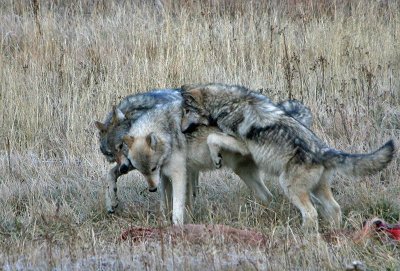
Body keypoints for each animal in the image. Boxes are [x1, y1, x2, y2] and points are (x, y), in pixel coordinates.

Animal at [180, 83, 394, 232]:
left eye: (186, 112)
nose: (181, 131)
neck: (229, 103)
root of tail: (323, 150)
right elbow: (213, 138)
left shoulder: (241, 145)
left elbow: (212, 137)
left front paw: (216, 158)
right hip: (316, 189)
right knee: (334, 209)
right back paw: (334, 233)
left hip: (289, 186)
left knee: (311, 213)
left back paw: (304, 235)